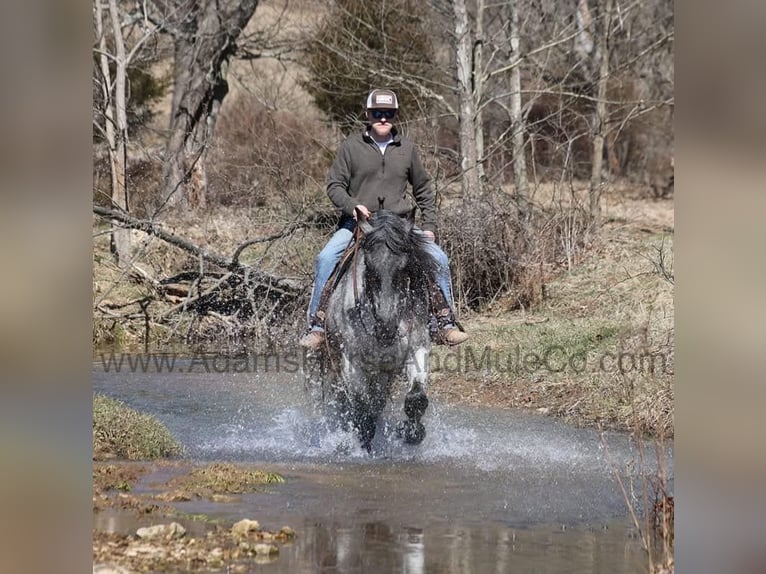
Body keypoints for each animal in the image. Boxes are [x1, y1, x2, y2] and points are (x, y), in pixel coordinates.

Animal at [317, 209, 437, 452]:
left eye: (404, 268)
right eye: (370, 269)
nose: (386, 323)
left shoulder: (417, 348)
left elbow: (416, 398)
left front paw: (411, 433)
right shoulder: (351, 363)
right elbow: (364, 413)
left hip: (383, 372)